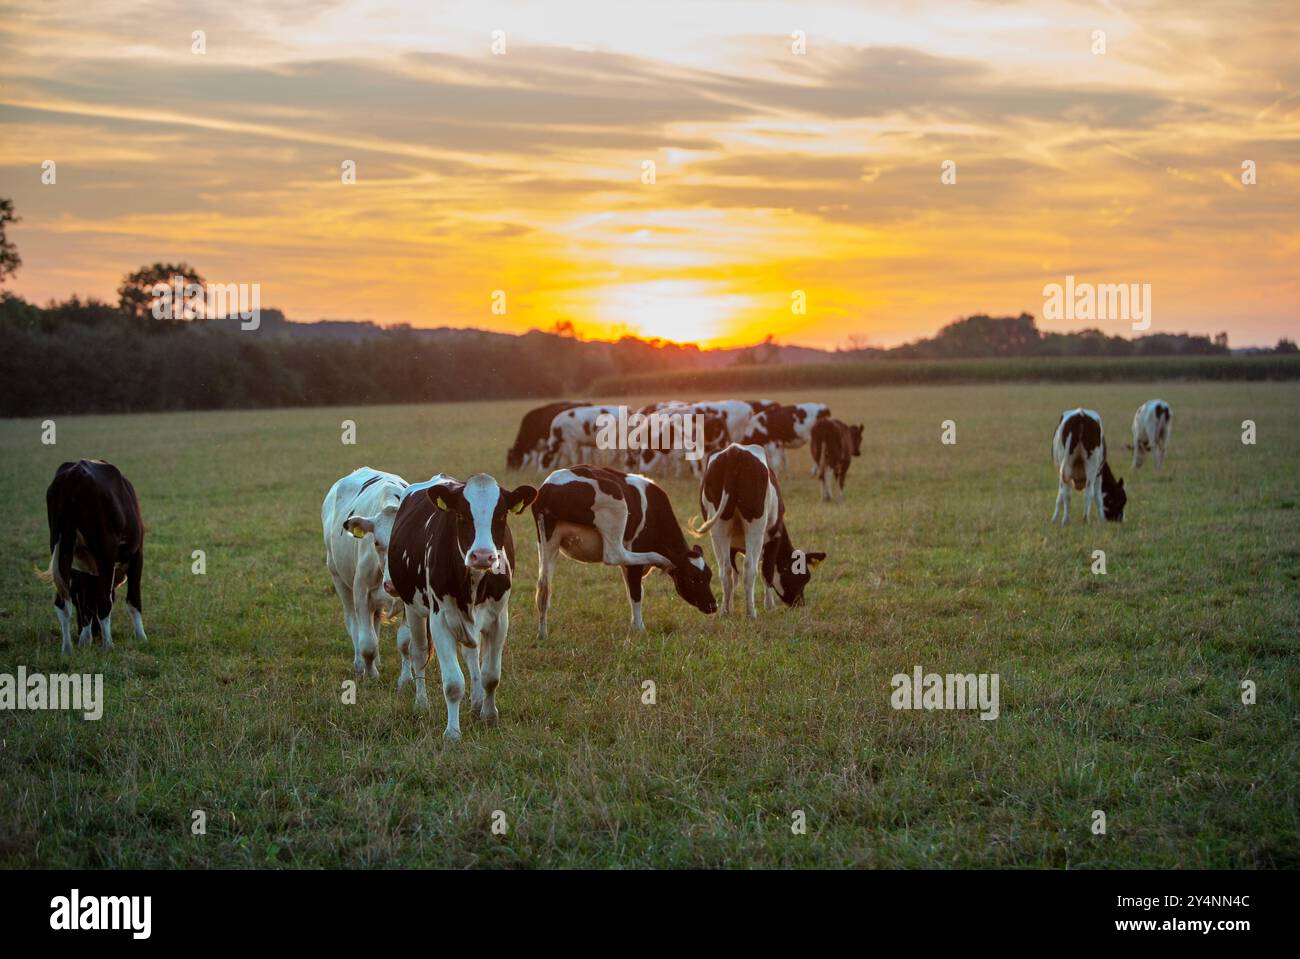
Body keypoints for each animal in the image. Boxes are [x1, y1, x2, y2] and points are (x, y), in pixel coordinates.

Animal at [39, 460, 147, 654]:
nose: (96, 634)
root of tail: (75, 473)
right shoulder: (137, 554)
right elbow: (133, 599)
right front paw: (141, 637)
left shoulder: (81, 573)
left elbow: (86, 604)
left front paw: (85, 638)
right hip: (106, 551)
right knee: (104, 601)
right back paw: (108, 645)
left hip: (61, 546)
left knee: (62, 602)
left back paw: (67, 649)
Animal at [325, 465, 405, 675]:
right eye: (376, 542)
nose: (393, 584)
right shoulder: (361, 592)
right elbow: (368, 644)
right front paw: (370, 675)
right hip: (338, 578)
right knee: (353, 624)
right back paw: (360, 664)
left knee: (375, 621)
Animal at [691, 441, 821, 615]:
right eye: (803, 577)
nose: (799, 603)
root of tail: (734, 452)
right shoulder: (774, 536)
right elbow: (767, 571)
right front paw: (769, 605)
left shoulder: (732, 546)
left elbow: (734, 575)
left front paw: (730, 607)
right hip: (755, 529)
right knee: (750, 568)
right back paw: (751, 613)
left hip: (719, 529)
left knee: (725, 570)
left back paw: (724, 612)